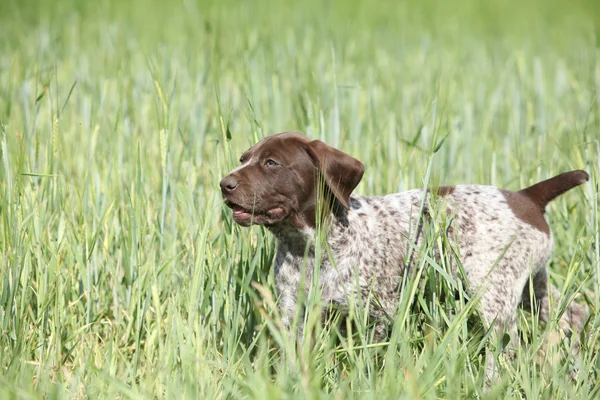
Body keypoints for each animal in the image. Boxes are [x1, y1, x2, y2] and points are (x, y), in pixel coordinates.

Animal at [219, 131, 584, 372]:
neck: (310, 247)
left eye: (271, 162)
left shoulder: (375, 315)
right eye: (243, 160)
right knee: (573, 315)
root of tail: (526, 197)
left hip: (493, 293)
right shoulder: (293, 314)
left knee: (505, 348)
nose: (225, 184)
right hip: (531, 288)